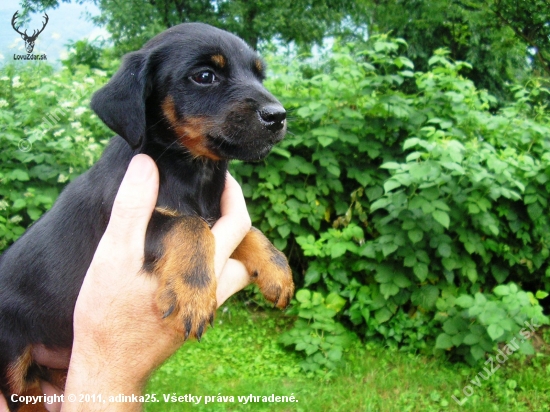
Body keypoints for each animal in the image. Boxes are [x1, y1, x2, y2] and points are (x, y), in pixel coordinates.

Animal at [0, 24, 296, 410]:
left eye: (260, 75)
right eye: (205, 76)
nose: (278, 116)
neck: (194, 172)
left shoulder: (218, 216)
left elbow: (246, 230)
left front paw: (277, 269)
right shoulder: (128, 224)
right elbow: (189, 224)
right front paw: (194, 292)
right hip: (9, 354)